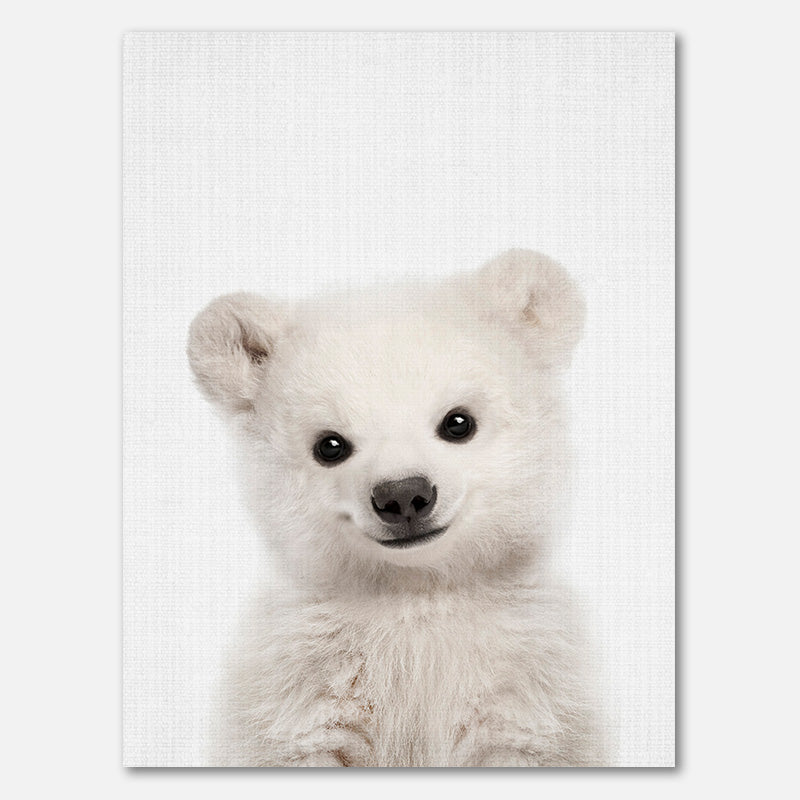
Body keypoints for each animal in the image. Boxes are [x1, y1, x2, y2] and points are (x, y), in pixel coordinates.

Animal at [187, 248, 606, 767]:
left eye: (458, 422)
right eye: (329, 445)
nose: (403, 494)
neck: (413, 594)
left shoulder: (526, 685)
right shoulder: (300, 688)